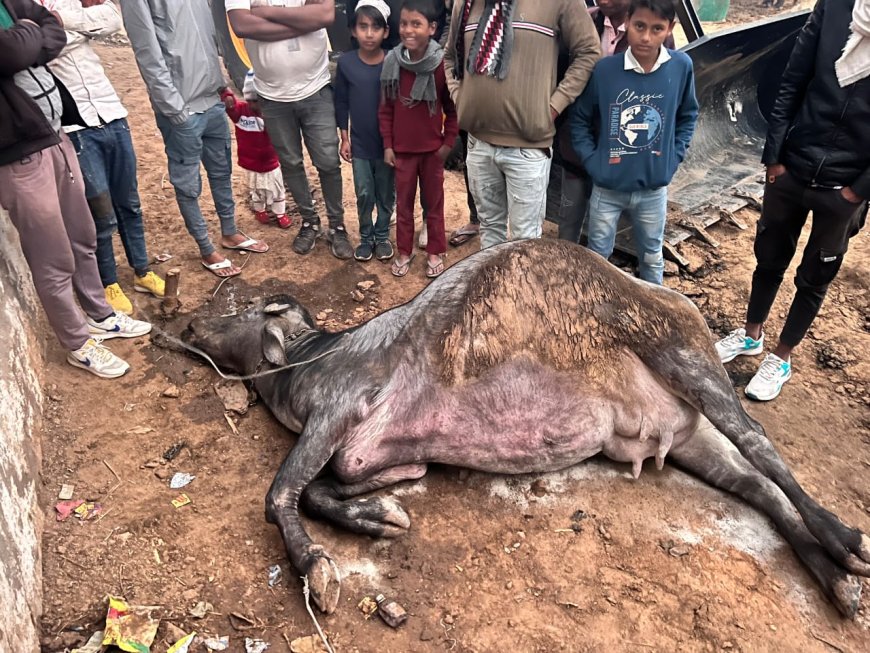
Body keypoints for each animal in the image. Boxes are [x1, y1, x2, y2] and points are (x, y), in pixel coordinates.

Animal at [181, 238, 868, 616]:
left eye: (240, 306)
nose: (188, 323)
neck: (309, 360)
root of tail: (675, 301)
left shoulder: (336, 414)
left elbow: (281, 495)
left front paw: (317, 570)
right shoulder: (378, 458)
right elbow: (325, 490)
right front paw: (379, 517)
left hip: (684, 359)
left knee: (762, 446)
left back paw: (845, 545)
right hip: (690, 438)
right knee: (759, 489)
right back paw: (836, 583)